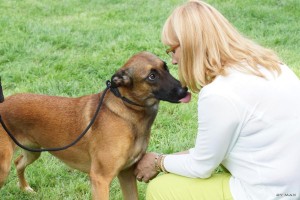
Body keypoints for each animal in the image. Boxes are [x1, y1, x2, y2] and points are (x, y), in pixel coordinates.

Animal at [0, 52, 191, 200]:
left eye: (166, 68)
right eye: (152, 76)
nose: (185, 90)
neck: (126, 111)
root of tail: (3, 103)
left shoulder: (126, 173)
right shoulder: (100, 179)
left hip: (33, 152)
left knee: (19, 163)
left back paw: (25, 188)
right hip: (4, 167)